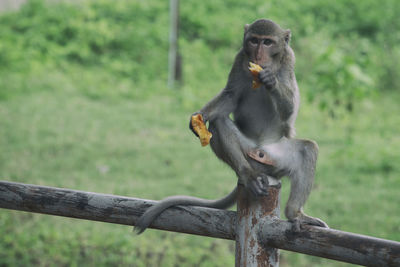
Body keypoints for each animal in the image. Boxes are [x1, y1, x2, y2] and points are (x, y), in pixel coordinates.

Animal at [134, 18, 328, 234]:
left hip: (276, 159)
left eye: (268, 42)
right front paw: (199, 117)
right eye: (254, 41)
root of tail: (260, 152)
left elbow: (289, 111)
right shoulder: (239, 58)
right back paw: (247, 175)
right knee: (219, 123)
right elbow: (230, 96)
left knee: (308, 149)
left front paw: (271, 81)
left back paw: (295, 214)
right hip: (248, 154)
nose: (258, 54)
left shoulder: (289, 61)